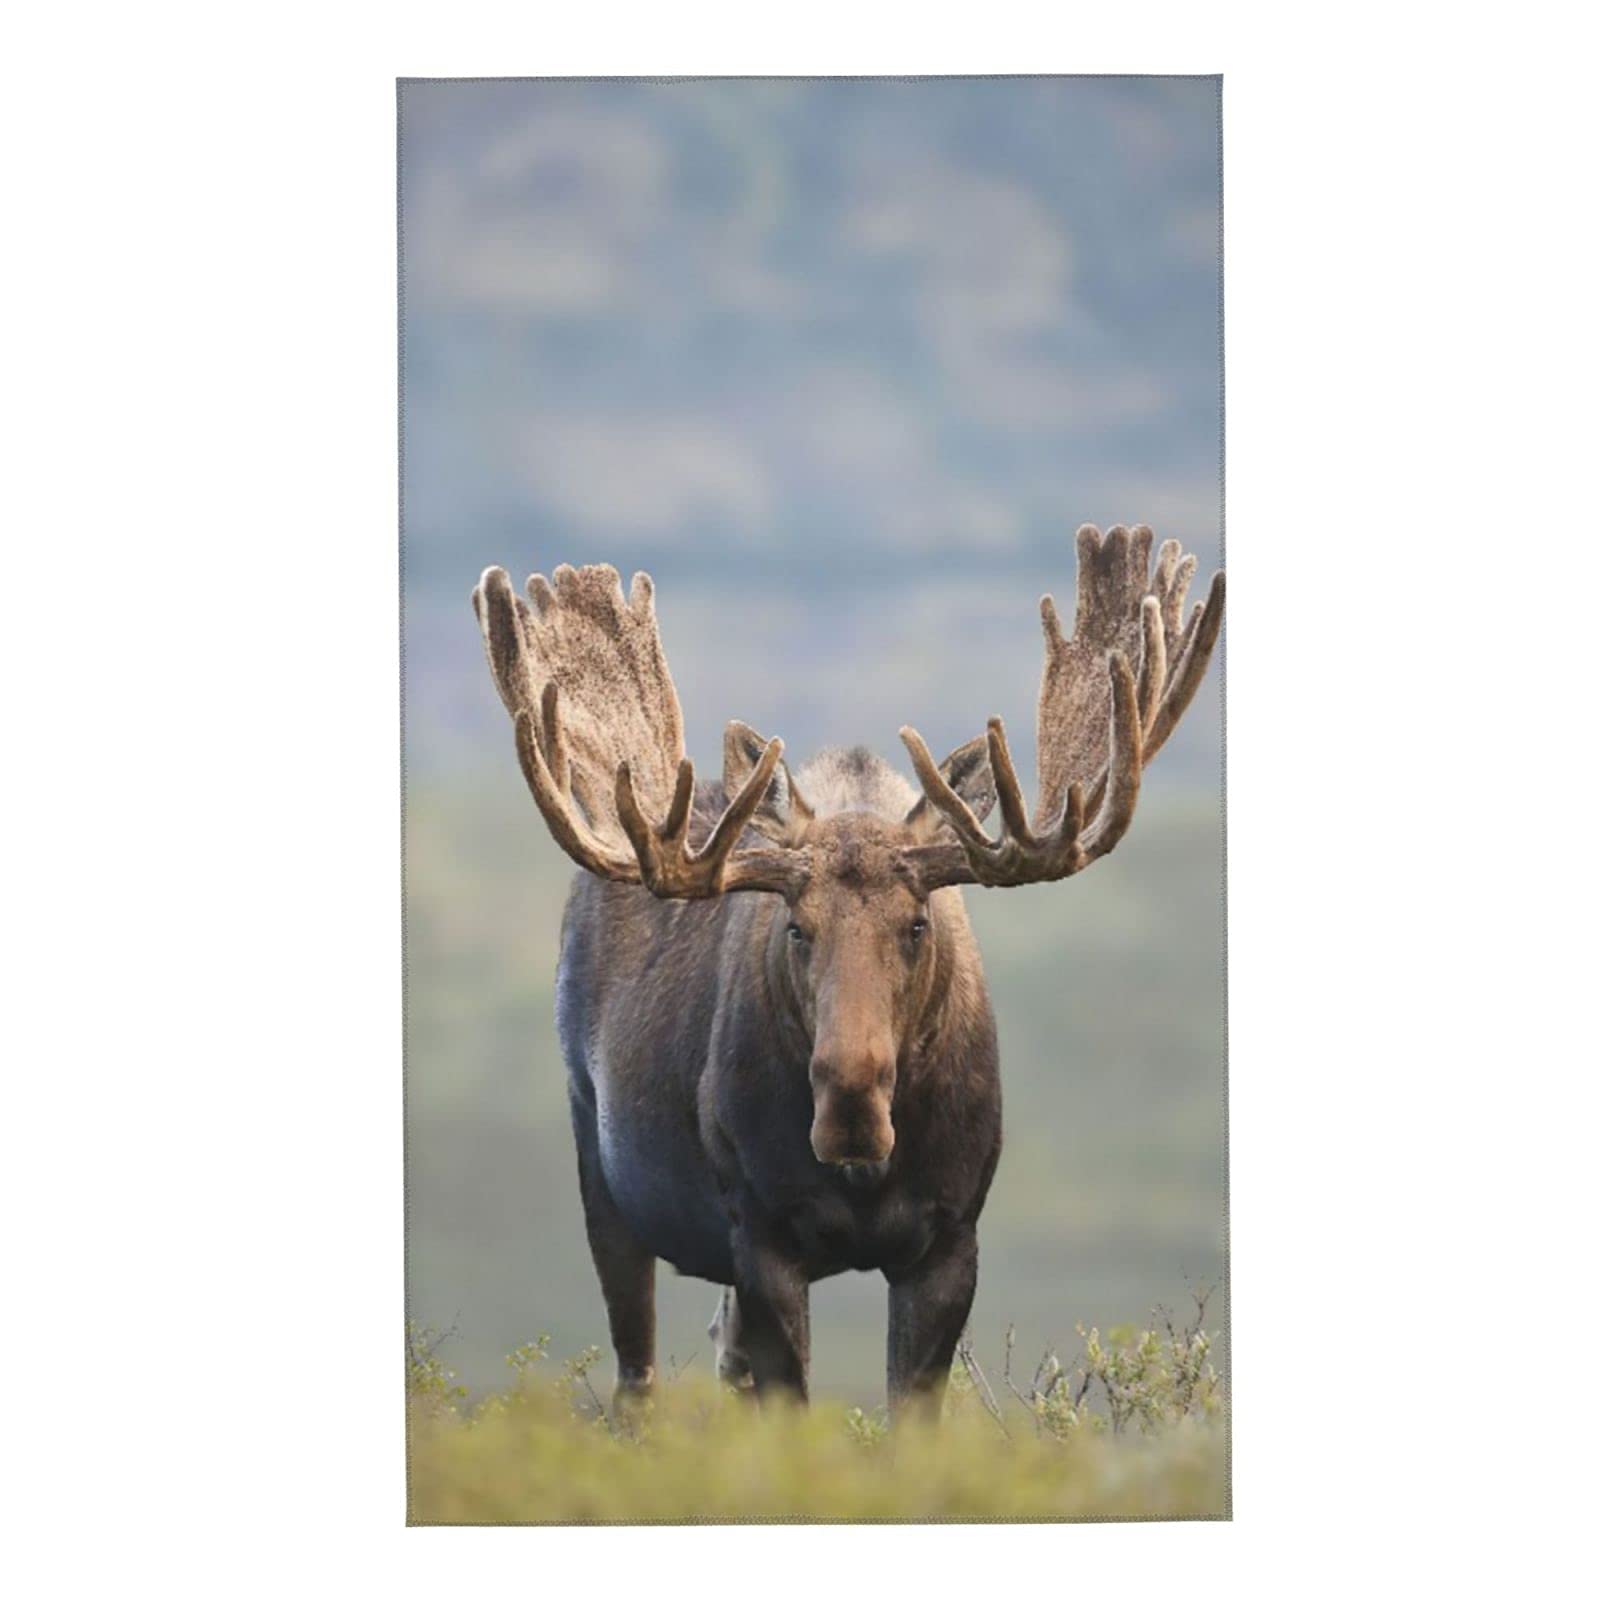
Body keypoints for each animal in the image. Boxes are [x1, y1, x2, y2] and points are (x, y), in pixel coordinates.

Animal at [472, 523, 1223, 1419]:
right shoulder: (761, 1234)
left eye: (917, 923)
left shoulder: (950, 1239)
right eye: (797, 928)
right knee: (636, 1378)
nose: (850, 1103)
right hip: (602, 1169)